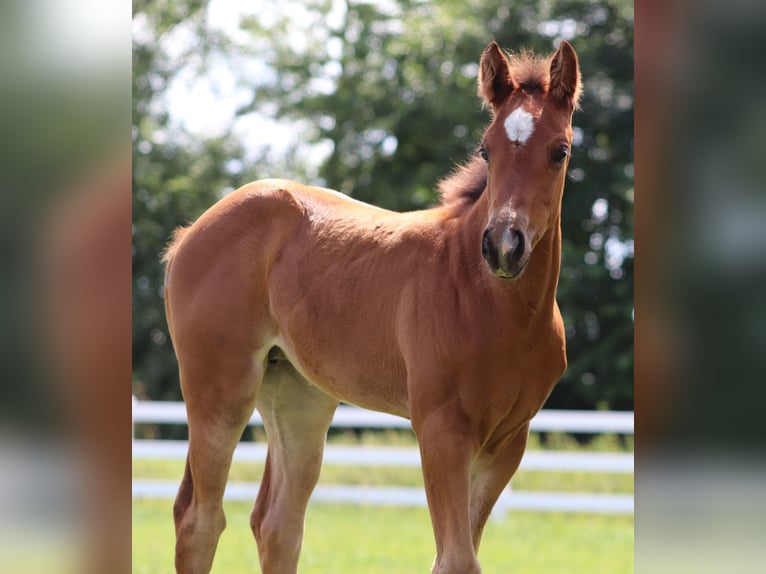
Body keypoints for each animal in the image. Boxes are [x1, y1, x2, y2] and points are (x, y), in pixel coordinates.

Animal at [163, 40, 581, 574]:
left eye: (559, 151)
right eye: (486, 149)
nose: (503, 246)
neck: (495, 305)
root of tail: (190, 233)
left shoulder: (508, 440)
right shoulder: (441, 429)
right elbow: (456, 559)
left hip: (297, 393)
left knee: (278, 524)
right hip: (220, 386)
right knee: (200, 518)